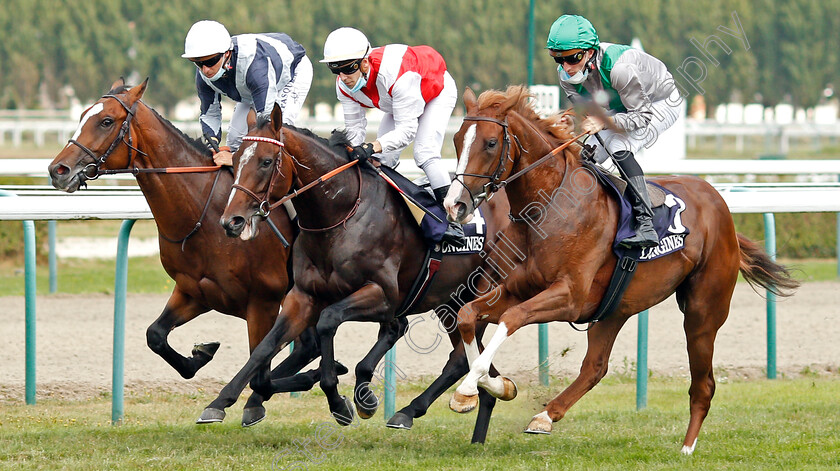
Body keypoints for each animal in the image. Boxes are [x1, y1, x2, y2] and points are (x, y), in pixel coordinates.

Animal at [46, 79, 322, 426]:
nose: (58, 170)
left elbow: (260, 366)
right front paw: (200, 354)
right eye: (83, 115)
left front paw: (249, 400)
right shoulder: (196, 291)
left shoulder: (263, 300)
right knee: (307, 346)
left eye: (106, 121)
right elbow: (155, 335)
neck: (205, 210)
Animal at [204, 102, 516, 442]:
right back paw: (480, 424)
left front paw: (340, 401)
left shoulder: (381, 295)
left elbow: (328, 321)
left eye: (266, 161)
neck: (339, 216)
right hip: (449, 300)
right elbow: (263, 349)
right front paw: (221, 402)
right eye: (235, 159)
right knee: (468, 358)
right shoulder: (303, 296)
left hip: (480, 291)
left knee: (459, 357)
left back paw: (408, 411)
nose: (231, 221)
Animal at [442, 86, 796, 456]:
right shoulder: (518, 289)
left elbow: (512, 318)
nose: (455, 205)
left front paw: (467, 389)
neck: (548, 207)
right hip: (614, 309)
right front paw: (494, 386)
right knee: (595, 367)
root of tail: (719, 203)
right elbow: (467, 315)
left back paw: (686, 448)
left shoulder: (569, 296)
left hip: (703, 311)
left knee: (704, 384)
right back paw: (545, 416)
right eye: (456, 139)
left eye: (490, 143)